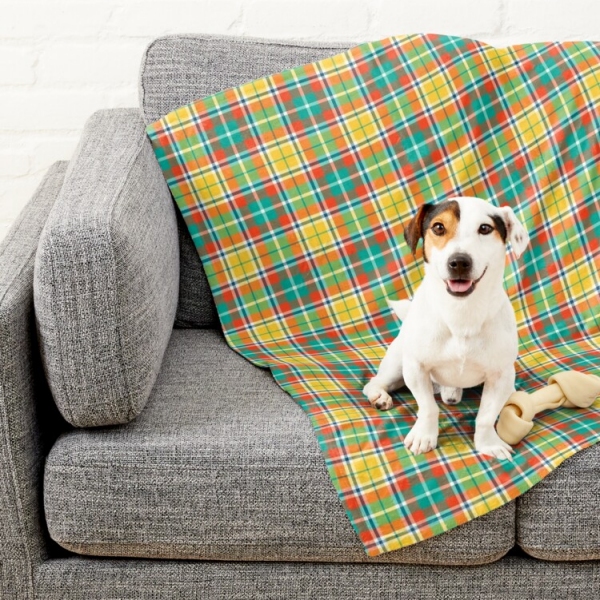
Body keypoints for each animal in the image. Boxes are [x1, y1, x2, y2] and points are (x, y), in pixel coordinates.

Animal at [364, 197, 528, 460]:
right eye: (438, 227)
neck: (461, 314)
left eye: (485, 228)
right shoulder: (416, 368)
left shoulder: (500, 375)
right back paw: (379, 396)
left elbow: (486, 416)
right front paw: (424, 436)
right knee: (374, 382)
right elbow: (428, 407)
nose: (459, 262)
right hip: (397, 364)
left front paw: (488, 443)